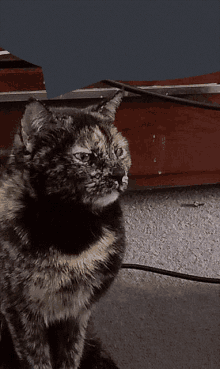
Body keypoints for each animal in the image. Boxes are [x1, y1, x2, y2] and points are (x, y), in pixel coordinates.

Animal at [0, 90, 131, 368]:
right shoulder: (20, 312)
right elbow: (37, 360)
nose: (119, 174)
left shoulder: (78, 311)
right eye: (84, 156)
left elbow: (71, 354)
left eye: (118, 151)